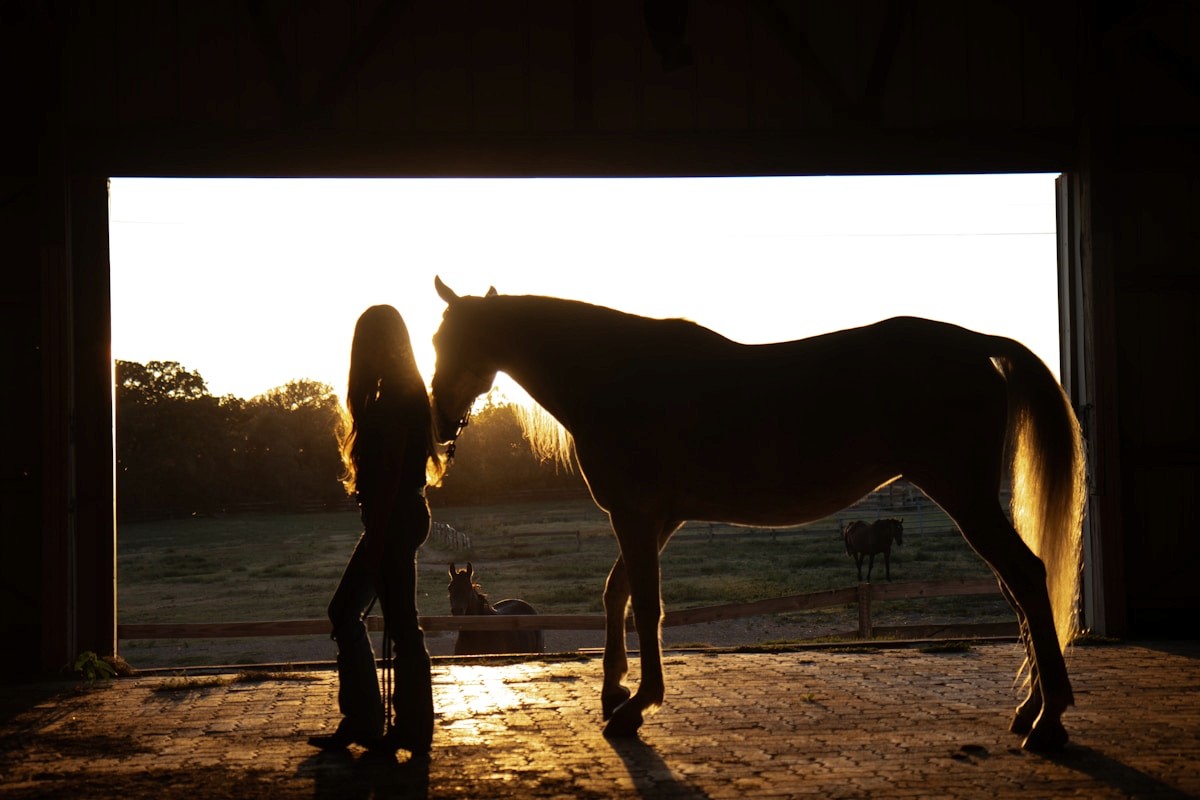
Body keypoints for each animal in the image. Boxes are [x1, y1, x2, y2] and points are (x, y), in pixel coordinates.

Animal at [429, 277, 1085, 752]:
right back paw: (1030, 710)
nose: (438, 422)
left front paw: (636, 706)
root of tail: (976, 342)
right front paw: (614, 692)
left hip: (965, 497)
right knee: (1015, 587)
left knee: (1026, 576)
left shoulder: (638, 516)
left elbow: (645, 605)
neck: (619, 378)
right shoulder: (656, 519)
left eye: (451, 341)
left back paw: (1048, 719)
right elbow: (618, 595)